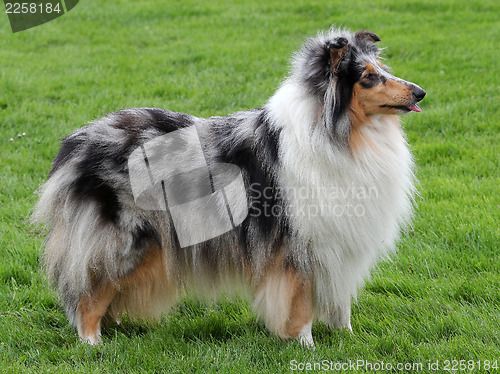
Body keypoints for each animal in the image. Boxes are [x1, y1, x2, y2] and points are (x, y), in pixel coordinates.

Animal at [33, 27, 426, 348]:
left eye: (382, 70)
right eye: (369, 77)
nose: (421, 92)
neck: (339, 135)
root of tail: (78, 142)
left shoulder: (339, 242)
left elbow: (341, 301)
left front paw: (347, 339)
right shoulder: (296, 243)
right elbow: (300, 301)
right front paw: (305, 346)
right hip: (126, 242)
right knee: (88, 294)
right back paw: (92, 344)